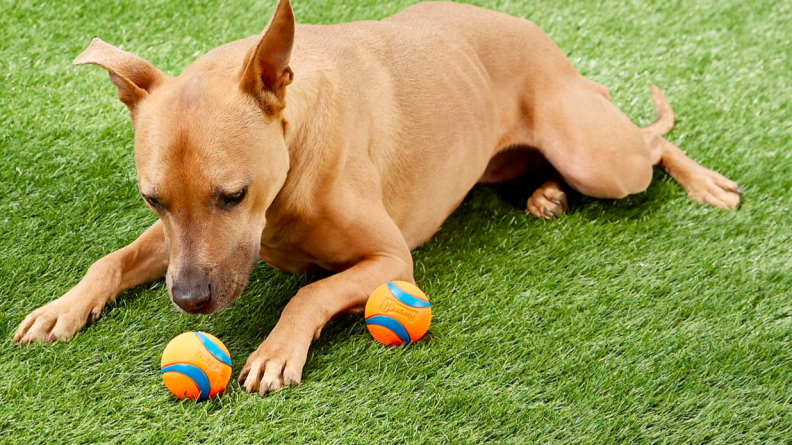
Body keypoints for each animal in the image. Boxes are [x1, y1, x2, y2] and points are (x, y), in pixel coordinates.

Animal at [15, 1, 740, 394]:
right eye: (153, 200)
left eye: (233, 195)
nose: (189, 300)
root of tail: (548, 43)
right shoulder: (169, 244)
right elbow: (109, 258)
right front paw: (61, 308)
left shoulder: (391, 261)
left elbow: (310, 292)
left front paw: (277, 349)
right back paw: (544, 192)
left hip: (598, 156)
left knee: (652, 142)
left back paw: (704, 182)